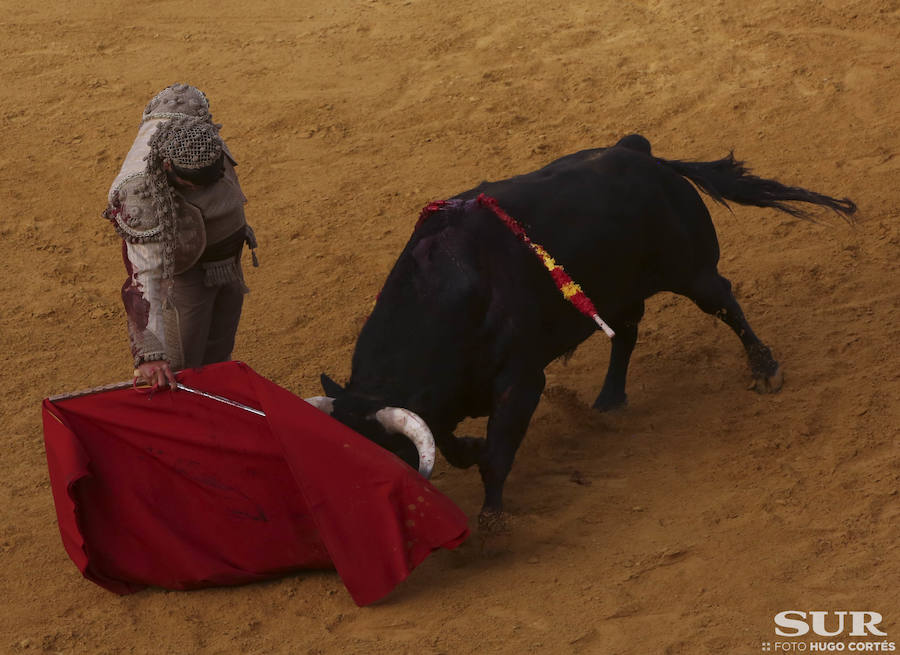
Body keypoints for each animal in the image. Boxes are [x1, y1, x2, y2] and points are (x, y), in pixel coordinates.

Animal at [320, 135, 856, 524]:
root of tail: (641, 152)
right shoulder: (446, 400)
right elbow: (454, 443)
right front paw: (471, 453)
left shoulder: (521, 381)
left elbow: (496, 453)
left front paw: (492, 519)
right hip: (619, 291)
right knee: (628, 332)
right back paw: (610, 400)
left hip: (691, 270)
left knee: (723, 301)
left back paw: (764, 368)